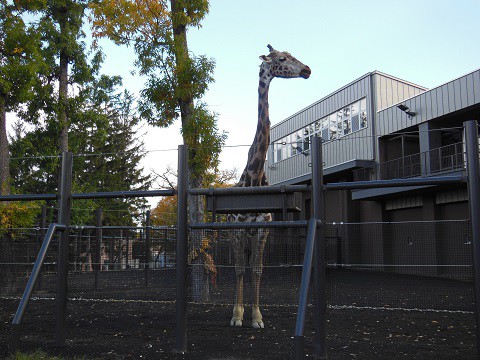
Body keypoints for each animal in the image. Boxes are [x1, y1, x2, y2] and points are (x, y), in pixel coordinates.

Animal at [229, 45, 312, 330]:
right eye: (281, 58)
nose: (307, 69)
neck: (255, 175)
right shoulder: (239, 229)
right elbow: (240, 269)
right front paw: (238, 315)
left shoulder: (262, 228)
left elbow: (257, 269)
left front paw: (256, 316)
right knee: (238, 267)